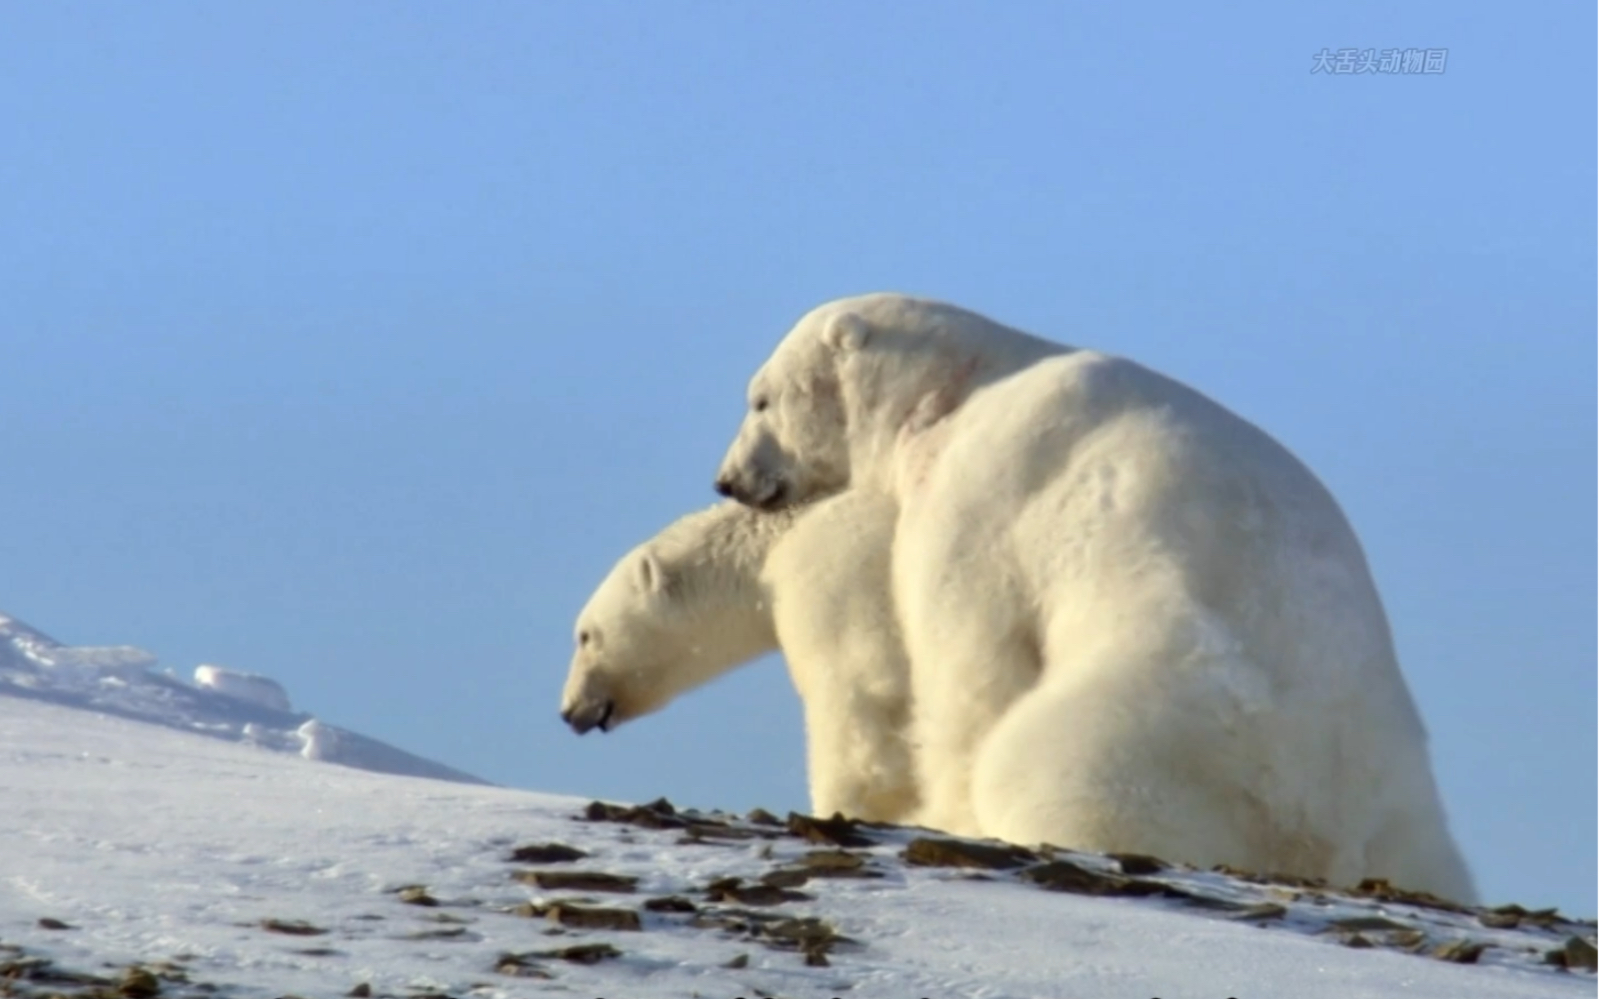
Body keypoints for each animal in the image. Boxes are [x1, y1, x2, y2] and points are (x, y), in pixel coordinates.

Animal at [713, 292, 1471, 901]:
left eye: (760, 399)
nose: (729, 479)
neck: (954, 390)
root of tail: (1318, 821)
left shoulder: (984, 489)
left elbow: (967, 648)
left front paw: (941, 810)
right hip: (1402, 797)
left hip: (1160, 723)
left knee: (1053, 763)